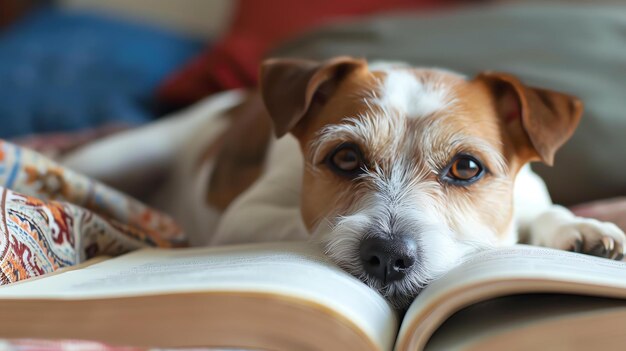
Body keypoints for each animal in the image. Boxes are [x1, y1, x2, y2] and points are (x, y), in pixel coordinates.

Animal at [62, 56, 624, 310]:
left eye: (466, 168)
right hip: (122, 154)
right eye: (347, 156)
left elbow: (544, 212)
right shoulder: (245, 215)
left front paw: (584, 231)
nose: (388, 256)